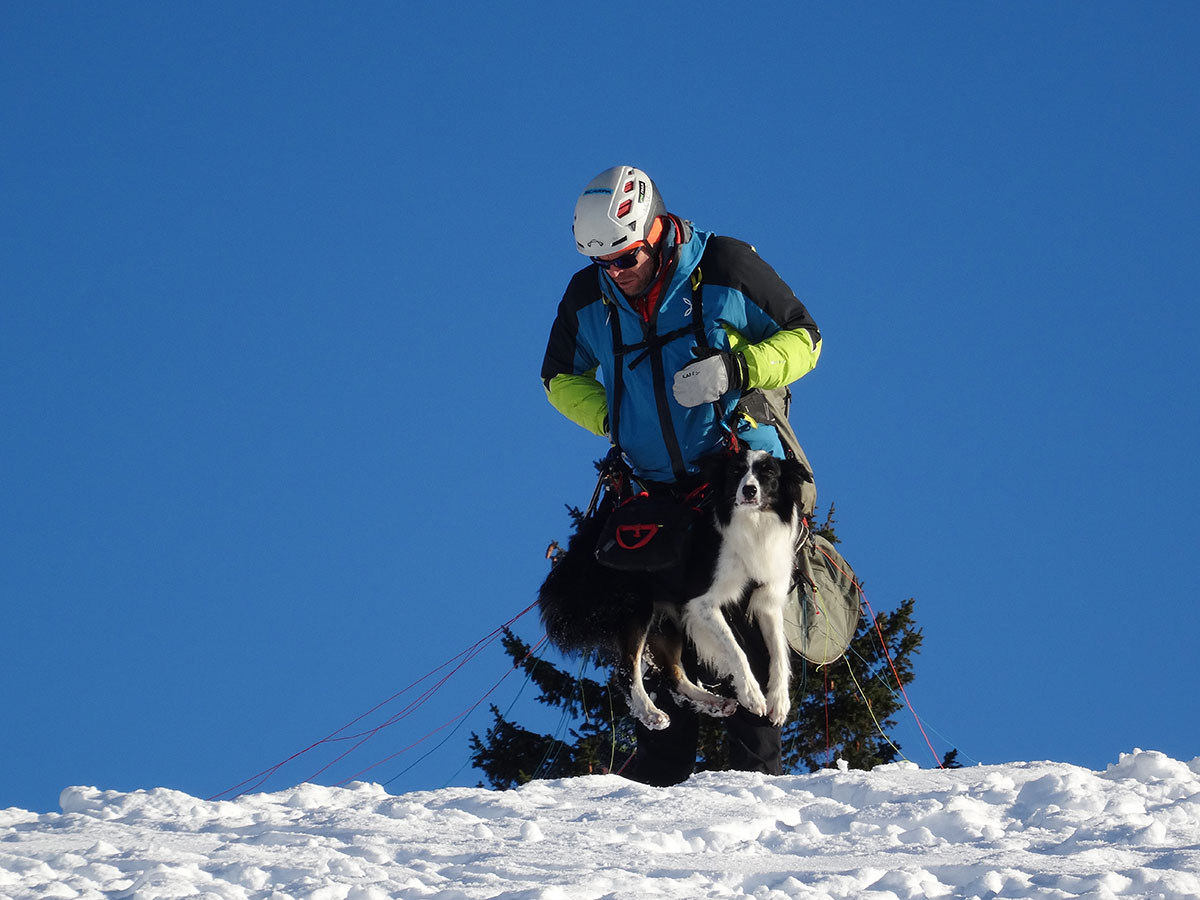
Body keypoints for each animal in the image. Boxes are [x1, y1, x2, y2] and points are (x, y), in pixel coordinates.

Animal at [538, 447, 812, 731]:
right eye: (736, 471)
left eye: (768, 473)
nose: (749, 490)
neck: (752, 524)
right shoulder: (700, 602)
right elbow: (736, 649)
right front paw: (752, 695)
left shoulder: (768, 602)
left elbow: (779, 654)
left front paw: (779, 702)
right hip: (637, 608)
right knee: (627, 670)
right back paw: (651, 713)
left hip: (666, 620)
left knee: (673, 675)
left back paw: (714, 702)